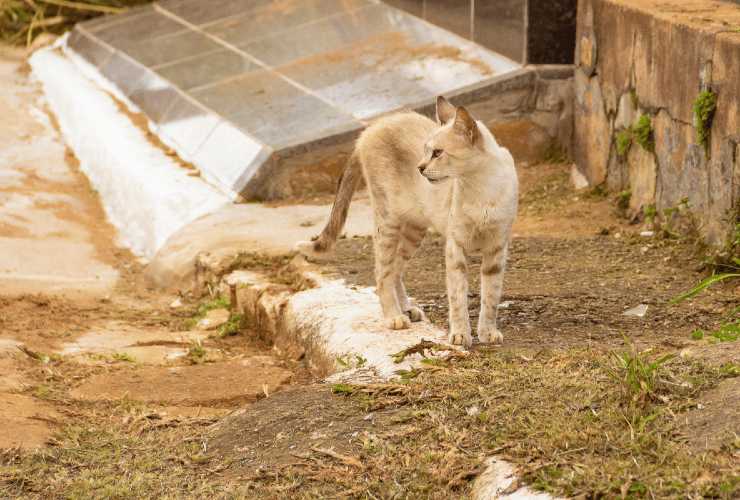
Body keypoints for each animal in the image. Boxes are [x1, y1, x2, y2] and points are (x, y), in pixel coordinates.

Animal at [296, 97, 520, 348]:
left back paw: (407, 309)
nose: (420, 168)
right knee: (382, 272)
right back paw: (394, 316)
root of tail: (371, 127)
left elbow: (491, 296)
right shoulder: (456, 248)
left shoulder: (496, 250)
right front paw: (461, 335)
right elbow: (458, 298)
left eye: (438, 153)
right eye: (426, 151)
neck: (480, 188)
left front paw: (488, 332)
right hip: (387, 222)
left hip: (414, 231)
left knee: (395, 269)